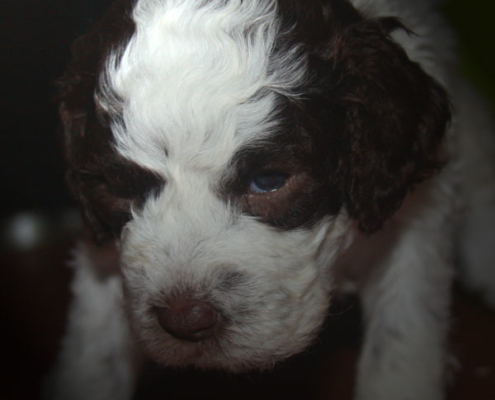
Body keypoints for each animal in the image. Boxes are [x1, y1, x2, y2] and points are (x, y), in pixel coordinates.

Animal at [49, 0, 495, 400]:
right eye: (117, 187)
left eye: (268, 181)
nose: (186, 322)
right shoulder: (101, 252)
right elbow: (94, 353)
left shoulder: (414, 228)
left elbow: (401, 348)